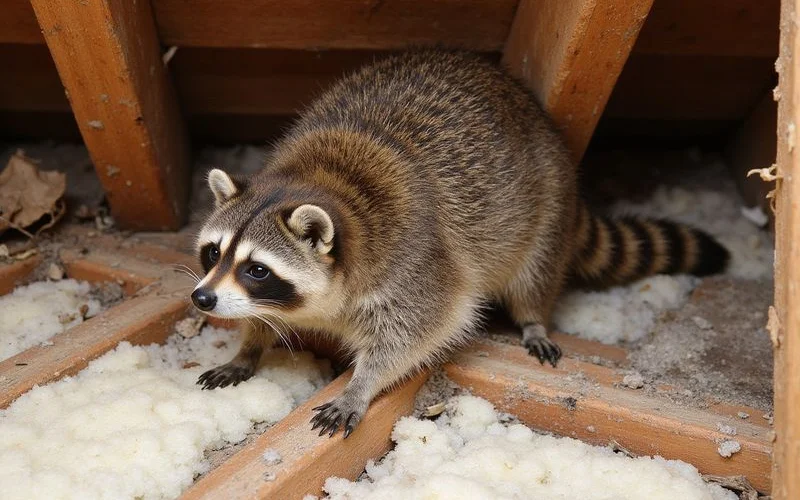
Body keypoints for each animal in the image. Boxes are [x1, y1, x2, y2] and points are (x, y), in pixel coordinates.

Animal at [191, 49, 729, 438]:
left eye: (257, 269)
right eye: (214, 253)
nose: (202, 298)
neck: (320, 180)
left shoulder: (416, 262)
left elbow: (416, 332)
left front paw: (360, 385)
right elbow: (260, 318)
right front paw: (248, 347)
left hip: (549, 204)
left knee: (534, 270)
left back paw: (532, 317)